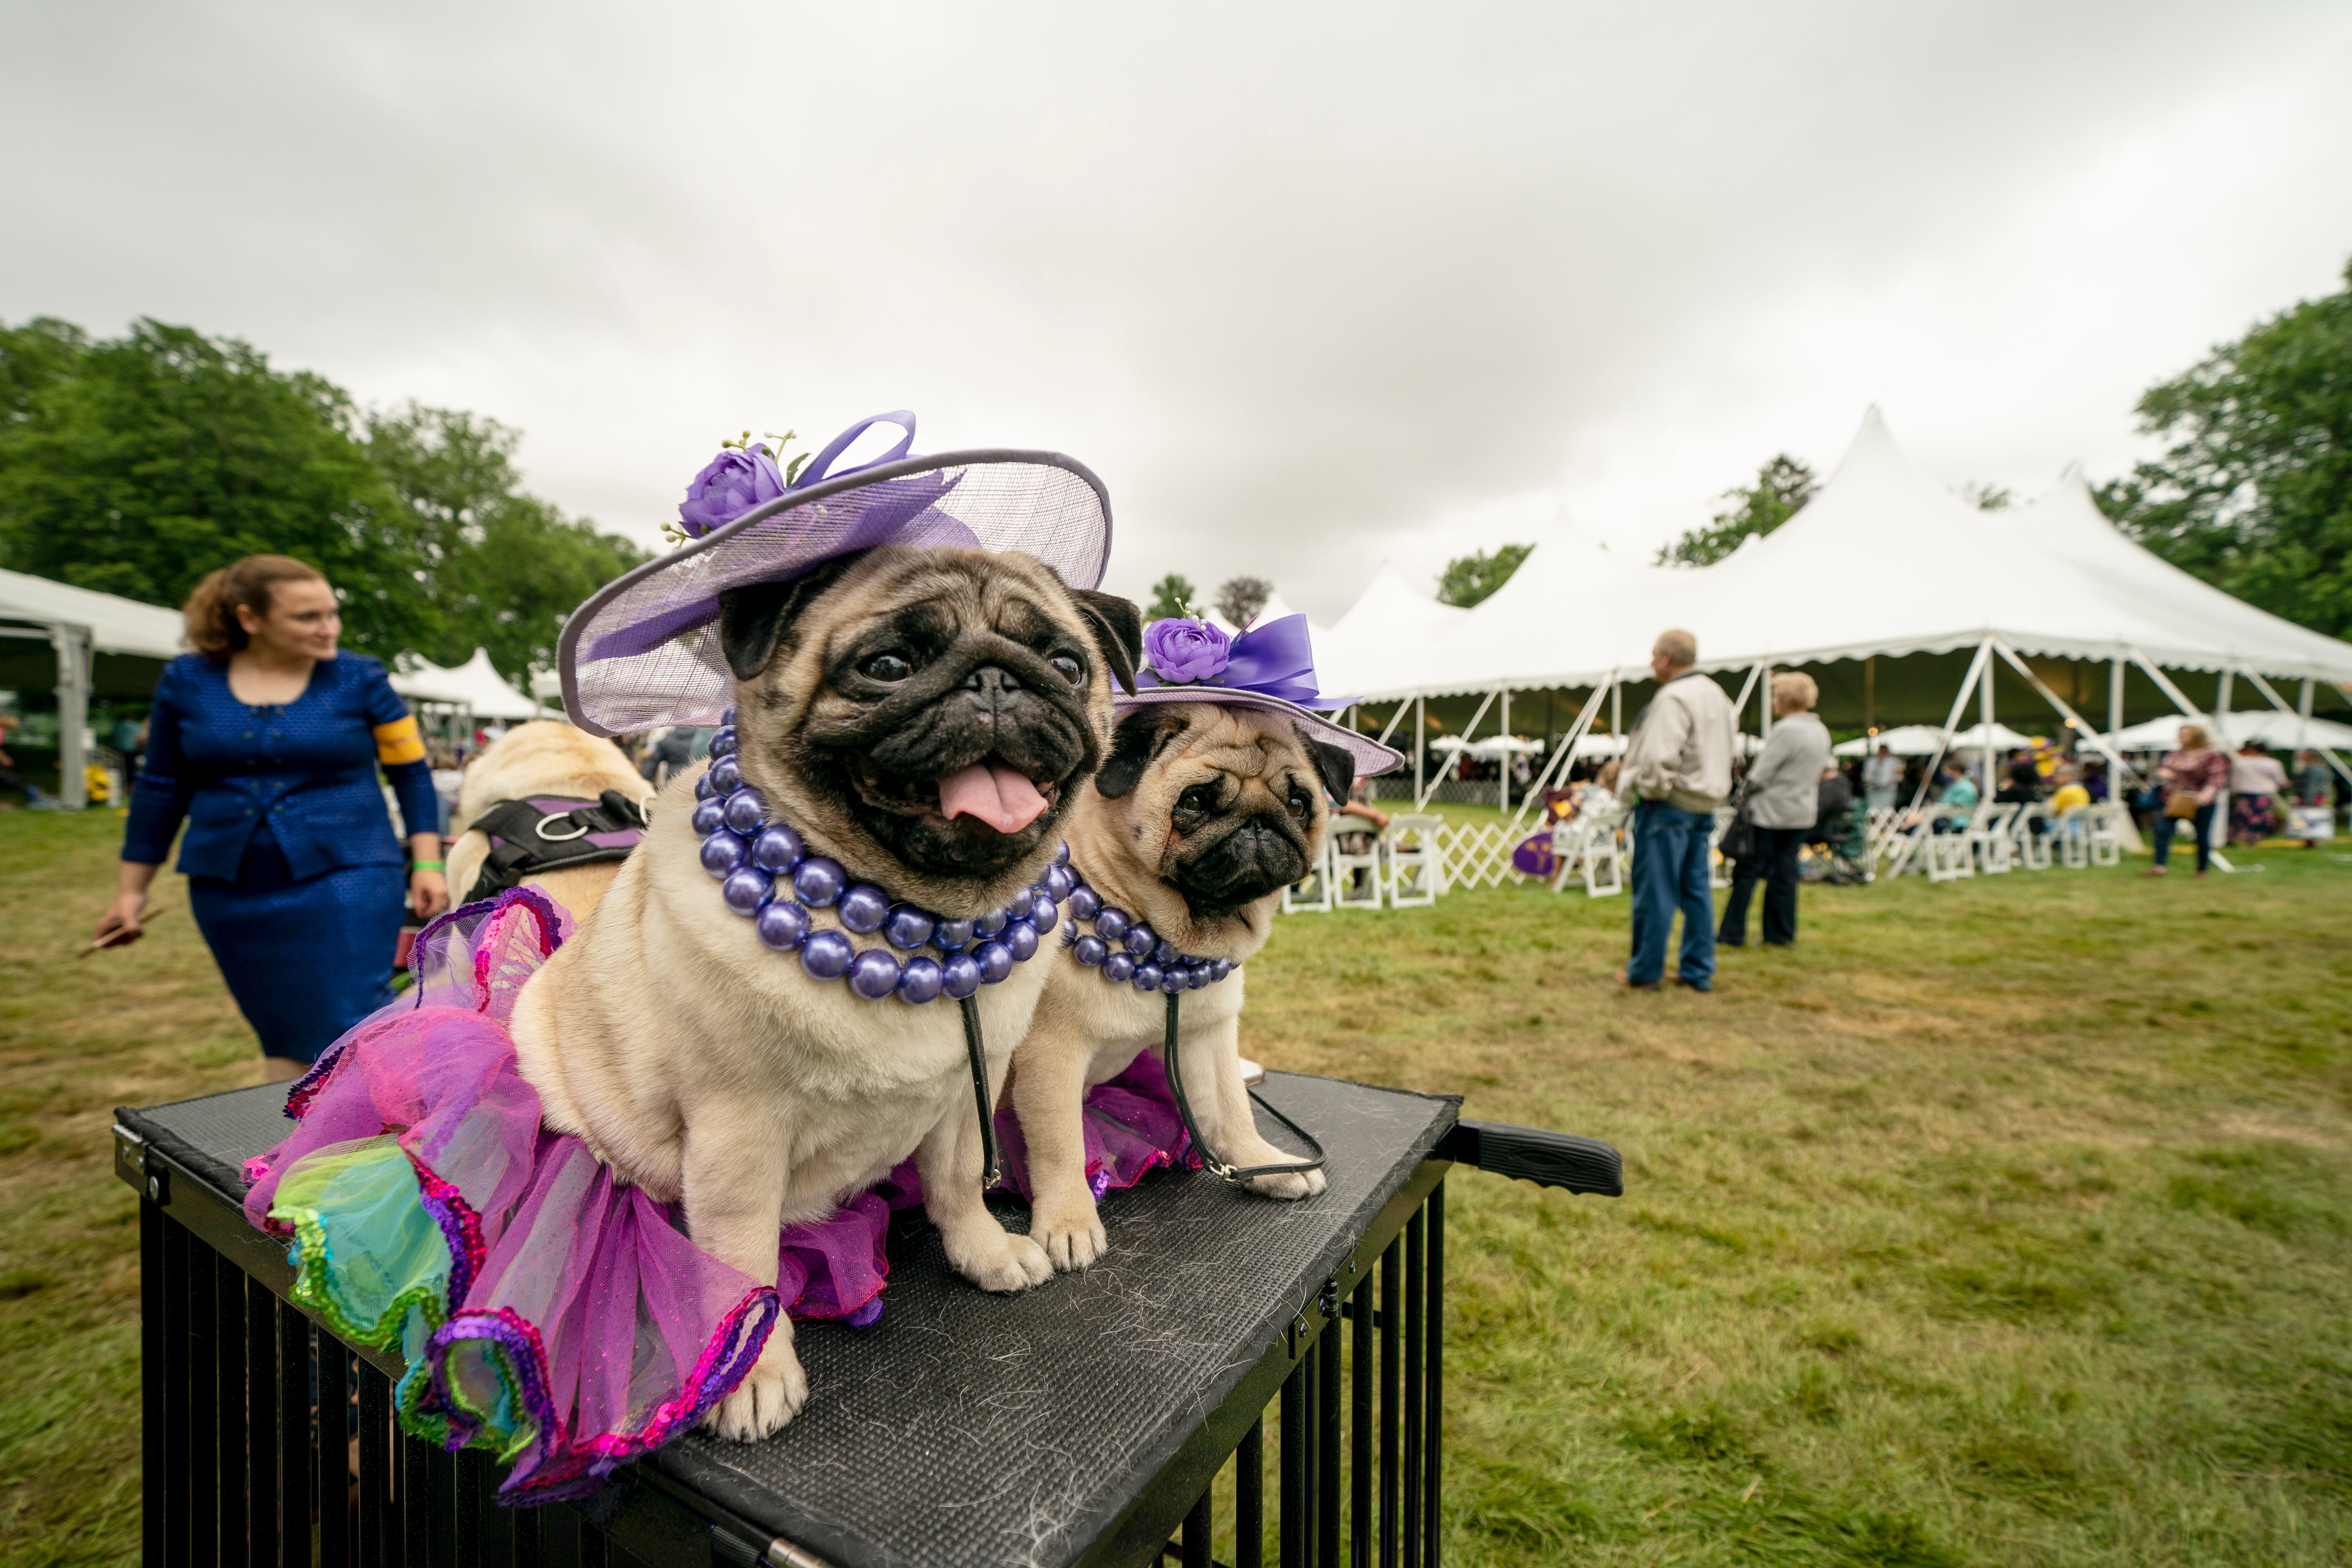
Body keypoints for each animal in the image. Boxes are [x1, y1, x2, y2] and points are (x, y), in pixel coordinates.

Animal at [510, 545, 1143, 1439]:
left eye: (1065, 665)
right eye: (887, 667)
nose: (996, 678)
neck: (920, 920)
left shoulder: (965, 1094)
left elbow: (957, 1184)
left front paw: (984, 1249)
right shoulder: (737, 1140)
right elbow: (742, 1264)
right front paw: (750, 1373)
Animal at [1002, 705, 1355, 1269]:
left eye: (1299, 804)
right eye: (1194, 802)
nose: (1260, 820)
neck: (1163, 935)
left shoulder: (1207, 1038)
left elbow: (1233, 1111)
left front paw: (1265, 1164)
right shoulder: (1051, 1055)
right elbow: (1061, 1146)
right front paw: (1068, 1221)